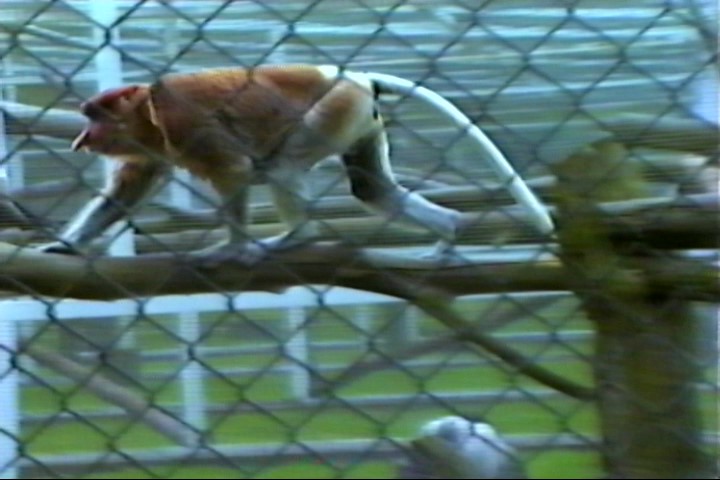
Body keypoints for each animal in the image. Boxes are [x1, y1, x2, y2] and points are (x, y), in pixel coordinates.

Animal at [38, 65, 553, 261]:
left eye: (95, 116)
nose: (81, 140)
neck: (148, 108)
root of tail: (355, 76)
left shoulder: (185, 125)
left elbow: (233, 170)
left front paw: (232, 248)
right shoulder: (151, 149)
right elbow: (125, 193)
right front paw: (63, 247)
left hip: (333, 111)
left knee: (284, 166)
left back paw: (293, 238)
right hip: (359, 122)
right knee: (372, 189)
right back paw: (447, 233)